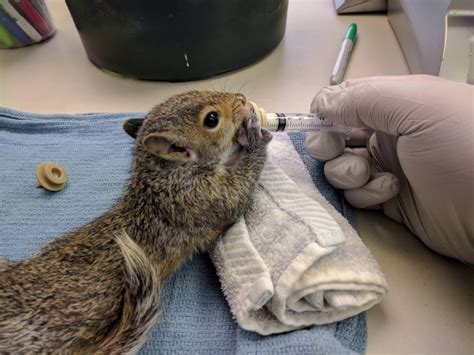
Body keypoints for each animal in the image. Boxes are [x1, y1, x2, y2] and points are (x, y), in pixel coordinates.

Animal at [0, 91, 272, 354]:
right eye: (212, 119)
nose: (241, 99)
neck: (163, 173)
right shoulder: (203, 198)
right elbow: (238, 192)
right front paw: (258, 137)